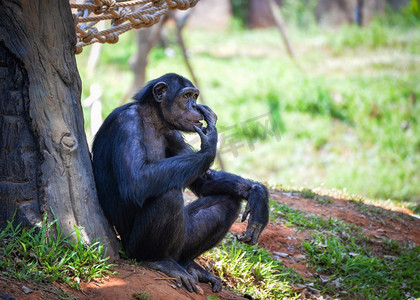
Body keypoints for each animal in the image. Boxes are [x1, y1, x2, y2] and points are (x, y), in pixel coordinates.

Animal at [92, 72, 270, 292]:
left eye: (194, 96)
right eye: (186, 96)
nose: (195, 106)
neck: (153, 119)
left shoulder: (173, 133)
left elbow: (203, 180)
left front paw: (258, 195)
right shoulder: (127, 123)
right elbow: (136, 180)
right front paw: (210, 140)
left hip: (183, 242)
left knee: (227, 202)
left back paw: (191, 265)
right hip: (134, 247)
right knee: (168, 196)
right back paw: (158, 260)